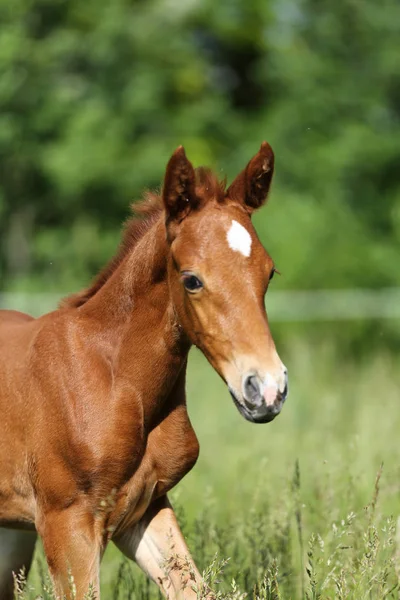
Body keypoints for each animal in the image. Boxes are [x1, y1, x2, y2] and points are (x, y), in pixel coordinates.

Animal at [0, 143, 288, 596]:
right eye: (191, 280)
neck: (116, 382)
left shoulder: (145, 508)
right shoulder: (67, 522)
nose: (268, 388)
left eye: (269, 272)